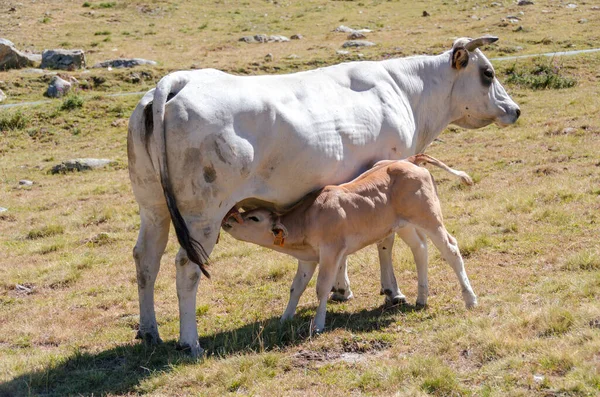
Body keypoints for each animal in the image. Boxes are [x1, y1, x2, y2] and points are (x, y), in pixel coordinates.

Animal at [127, 34, 520, 356]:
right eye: (487, 73)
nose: (515, 109)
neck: (405, 91)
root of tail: (178, 81)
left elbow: (344, 247)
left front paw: (342, 289)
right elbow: (385, 240)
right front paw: (392, 291)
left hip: (153, 207)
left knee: (146, 259)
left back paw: (150, 332)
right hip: (203, 216)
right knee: (186, 267)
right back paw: (189, 341)